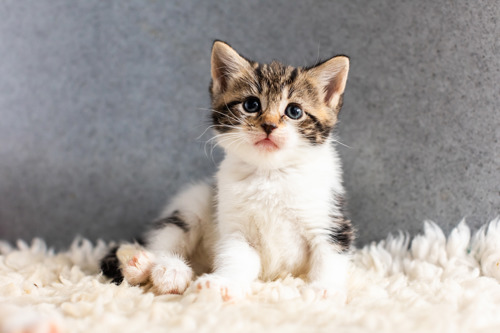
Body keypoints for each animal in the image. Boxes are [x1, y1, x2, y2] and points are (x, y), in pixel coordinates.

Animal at [99, 40, 354, 300]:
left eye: (294, 111)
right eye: (251, 104)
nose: (269, 125)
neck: (270, 173)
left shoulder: (330, 219)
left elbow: (329, 256)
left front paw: (325, 288)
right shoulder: (235, 229)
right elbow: (236, 258)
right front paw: (224, 282)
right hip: (192, 203)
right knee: (164, 238)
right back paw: (156, 268)